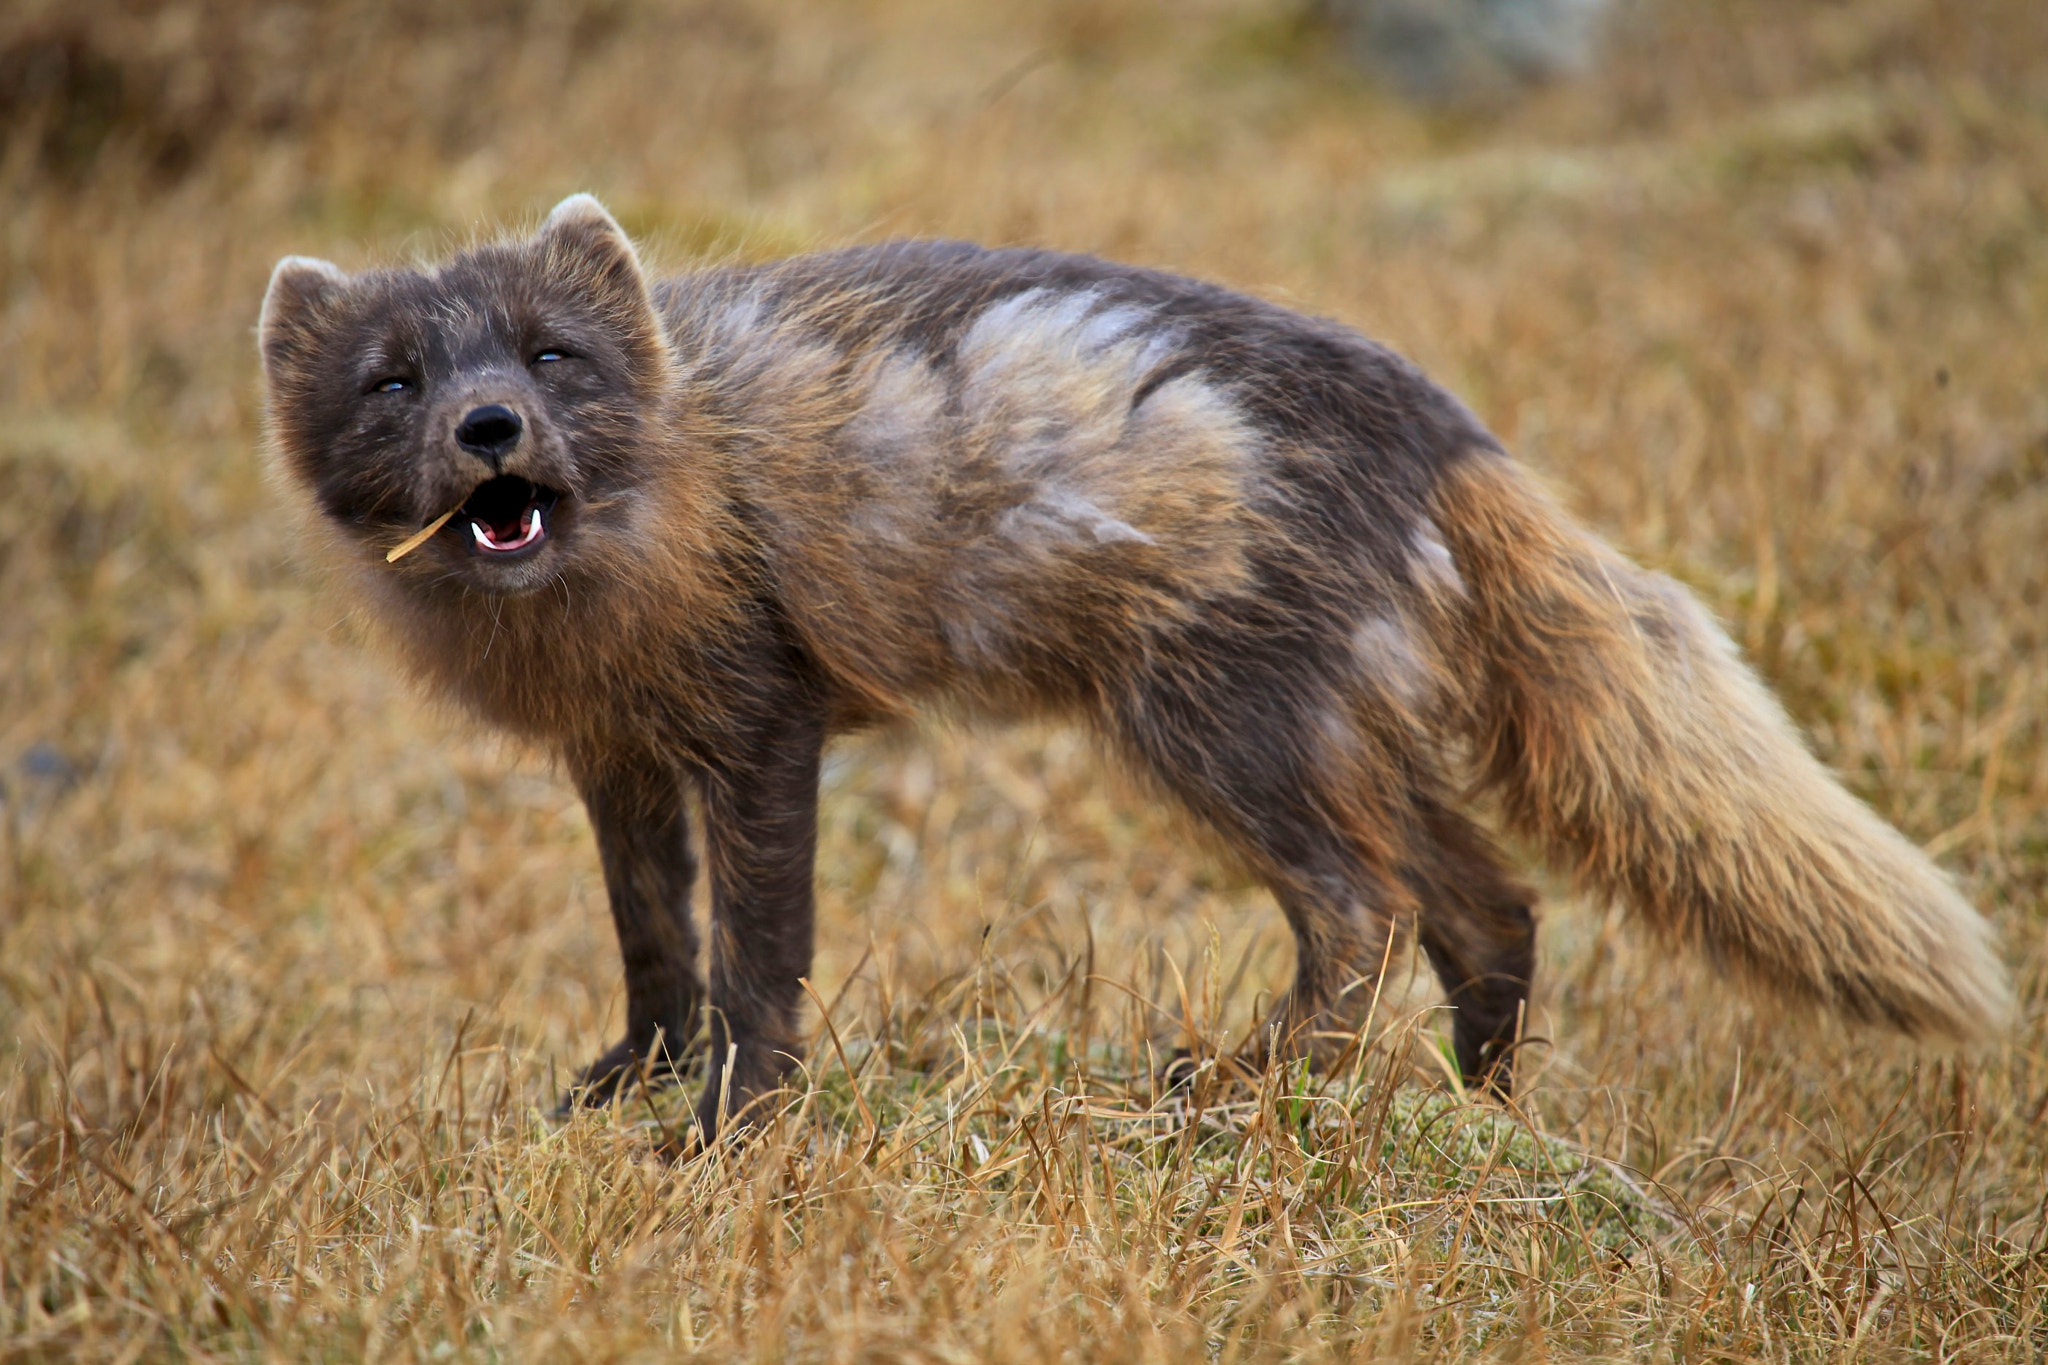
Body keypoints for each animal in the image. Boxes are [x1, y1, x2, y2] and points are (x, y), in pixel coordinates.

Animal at [258, 193, 2010, 1141]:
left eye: (555, 354)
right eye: (392, 377)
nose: (491, 429)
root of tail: (1449, 427)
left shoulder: (761, 719)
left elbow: (761, 948)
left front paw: (730, 1130)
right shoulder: (613, 754)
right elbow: (648, 935)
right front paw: (624, 1085)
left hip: (1220, 719)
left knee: (1367, 908)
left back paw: (1234, 1088)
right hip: (1349, 719)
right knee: (1491, 905)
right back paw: (1472, 1107)